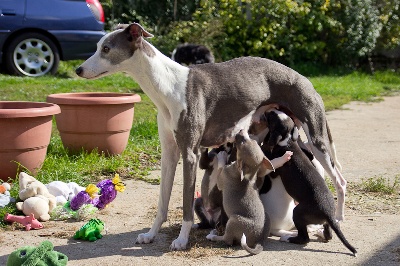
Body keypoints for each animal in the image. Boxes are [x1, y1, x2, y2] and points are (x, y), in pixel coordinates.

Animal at [75, 22, 346, 249]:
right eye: (98, 47)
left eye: (107, 49)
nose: (78, 69)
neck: (167, 86)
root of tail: (303, 78)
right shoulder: (169, 152)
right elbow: (163, 201)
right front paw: (151, 234)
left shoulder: (190, 153)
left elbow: (185, 202)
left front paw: (181, 240)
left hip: (317, 139)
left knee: (340, 180)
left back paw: (337, 218)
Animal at [264, 109, 358, 256]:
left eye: (272, 117)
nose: (268, 110)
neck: (288, 140)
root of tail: (329, 214)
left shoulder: (275, 170)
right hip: (323, 221)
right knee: (328, 234)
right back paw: (320, 233)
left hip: (298, 213)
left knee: (304, 238)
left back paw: (288, 238)